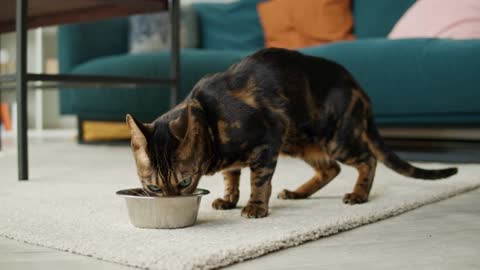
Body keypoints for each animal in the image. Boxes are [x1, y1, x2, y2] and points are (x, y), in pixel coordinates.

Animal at [126, 47, 458, 218]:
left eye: (184, 182)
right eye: (154, 188)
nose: (170, 202)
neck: (209, 119)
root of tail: (359, 88)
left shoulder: (267, 142)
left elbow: (259, 181)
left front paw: (255, 207)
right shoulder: (239, 156)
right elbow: (231, 177)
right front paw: (229, 200)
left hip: (334, 138)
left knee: (367, 160)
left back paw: (359, 195)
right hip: (299, 142)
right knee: (330, 169)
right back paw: (298, 193)